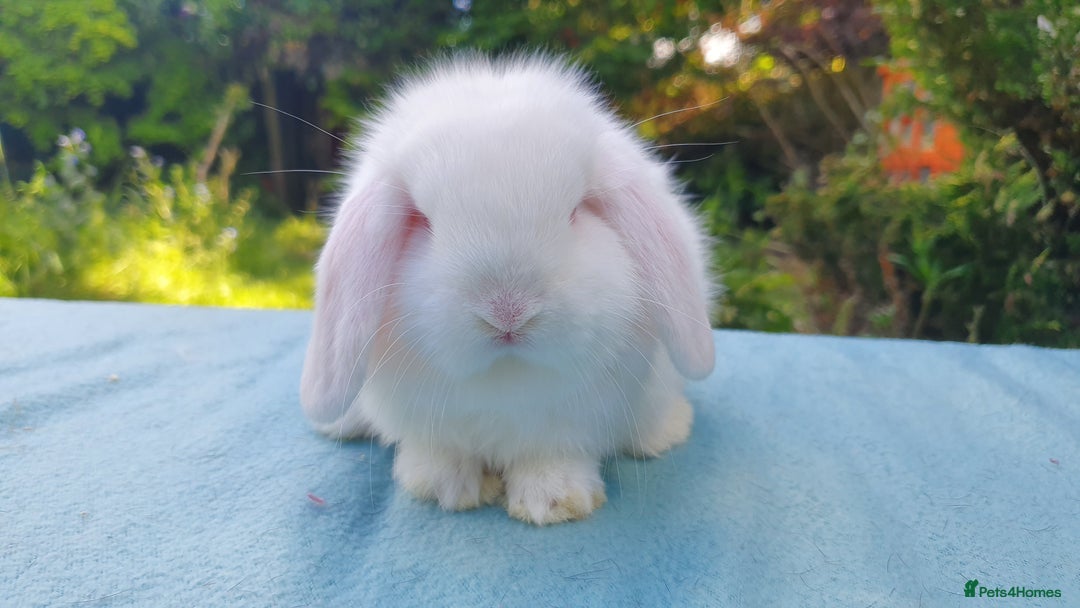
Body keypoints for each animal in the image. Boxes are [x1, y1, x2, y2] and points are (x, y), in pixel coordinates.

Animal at [299, 52, 715, 525]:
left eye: (576, 211)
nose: (507, 312)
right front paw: (444, 488)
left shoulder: (570, 425)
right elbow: (441, 453)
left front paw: (553, 501)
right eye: (423, 220)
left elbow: (553, 455)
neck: (507, 379)